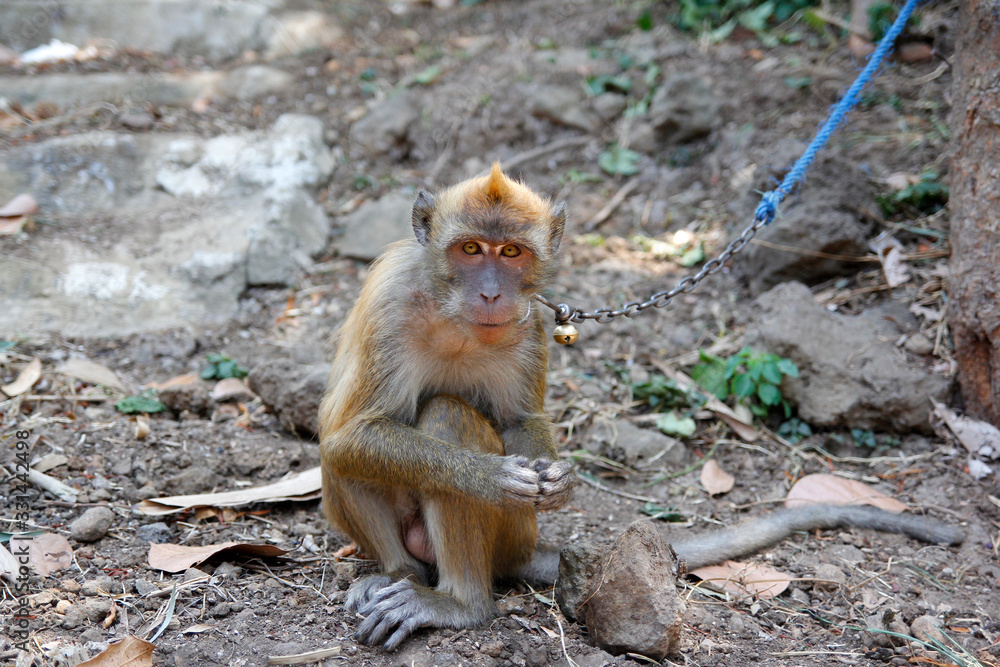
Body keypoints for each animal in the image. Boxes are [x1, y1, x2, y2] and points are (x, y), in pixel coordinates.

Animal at [318, 164, 964, 651]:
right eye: (470, 249)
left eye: (511, 252)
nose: (492, 292)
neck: (454, 313)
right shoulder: (392, 301)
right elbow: (350, 435)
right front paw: (489, 477)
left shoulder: (530, 324)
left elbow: (522, 421)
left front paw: (558, 481)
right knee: (350, 449)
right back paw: (409, 581)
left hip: (512, 535)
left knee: (444, 416)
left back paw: (458, 603)